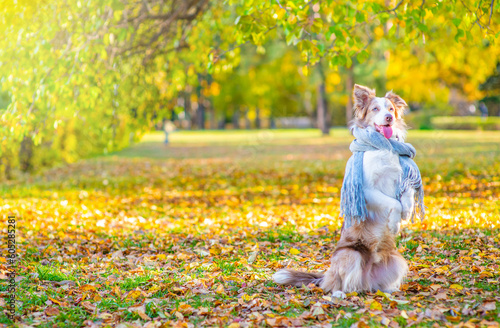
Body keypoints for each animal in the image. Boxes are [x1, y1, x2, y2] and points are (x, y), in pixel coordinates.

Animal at [272, 85, 416, 298]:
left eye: (390, 108)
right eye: (375, 109)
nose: (389, 117)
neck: (383, 146)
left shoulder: (399, 179)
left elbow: (407, 195)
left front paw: (406, 211)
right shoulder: (366, 190)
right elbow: (392, 203)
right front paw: (394, 222)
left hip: (396, 261)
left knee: (370, 286)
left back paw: (388, 291)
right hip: (351, 254)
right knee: (338, 285)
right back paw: (339, 294)